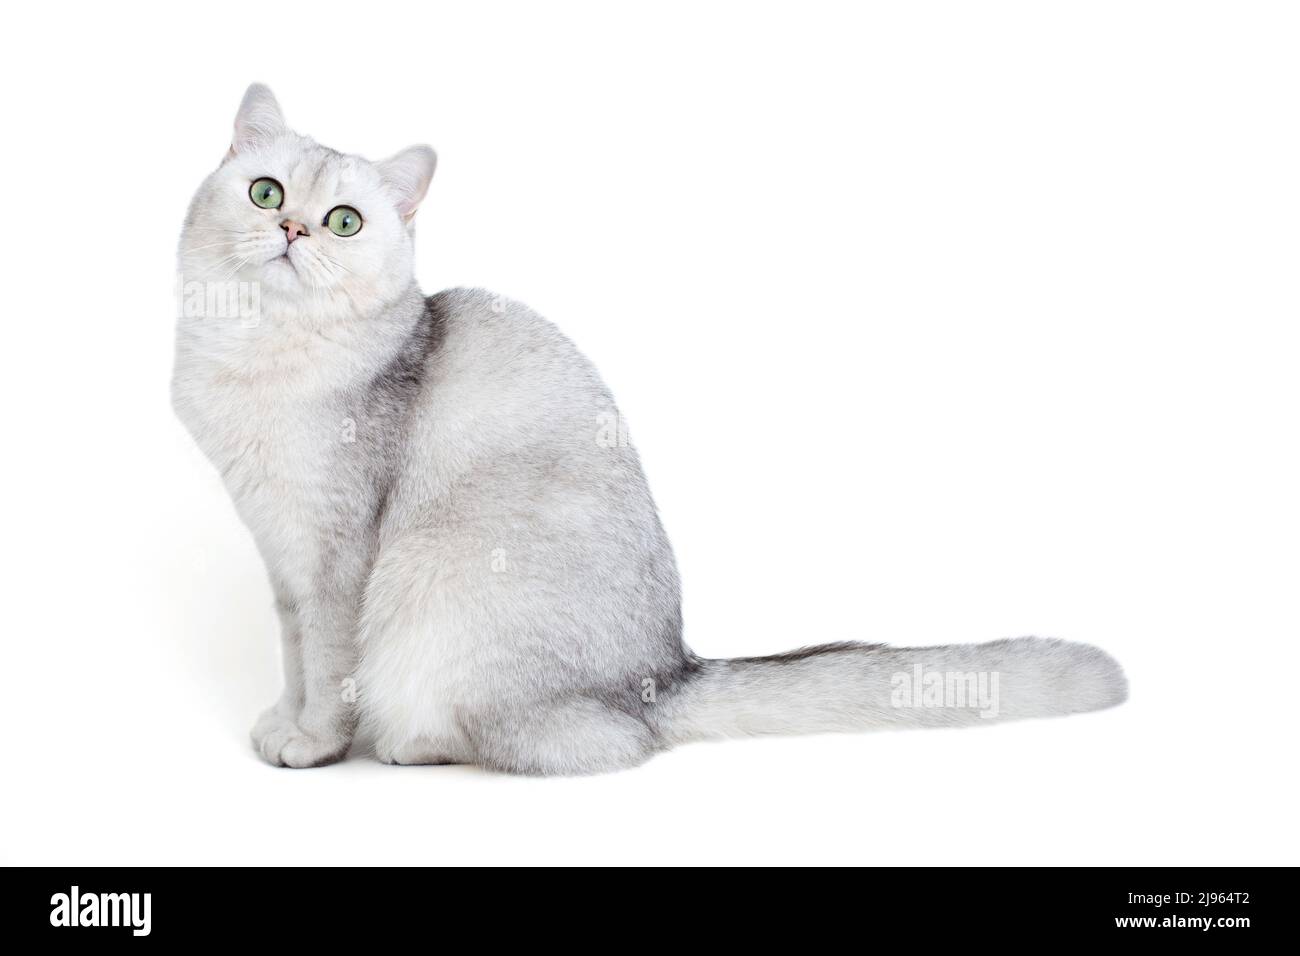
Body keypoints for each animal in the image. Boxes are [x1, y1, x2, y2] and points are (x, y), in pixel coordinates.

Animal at [172, 83, 1128, 780]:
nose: (292, 228)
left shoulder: (336, 561)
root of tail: (666, 676)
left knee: (583, 744)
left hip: (433, 590)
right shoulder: (283, 562)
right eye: (265, 192)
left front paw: (314, 745)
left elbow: (329, 668)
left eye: (345, 222)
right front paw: (283, 720)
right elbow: (296, 659)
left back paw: (410, 744)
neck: (254, 353)